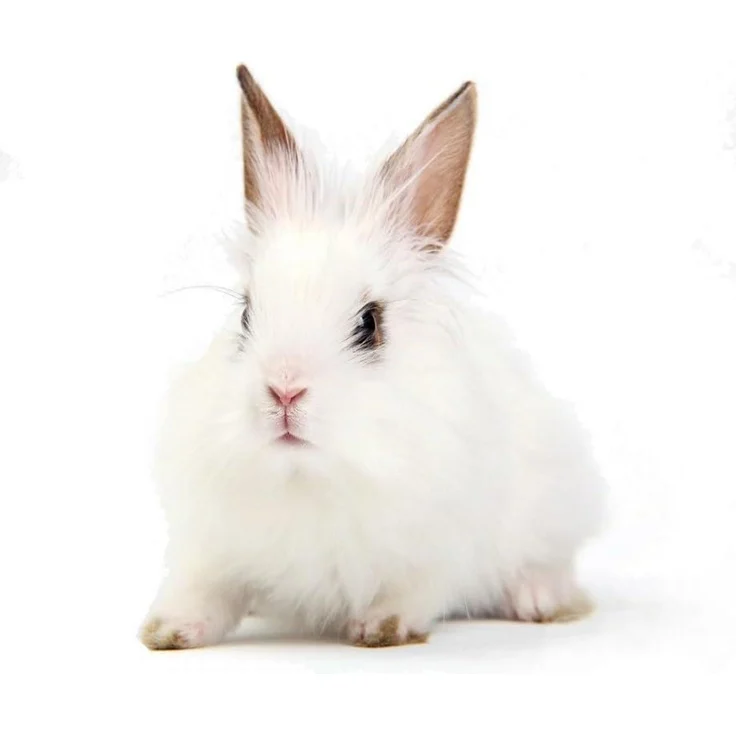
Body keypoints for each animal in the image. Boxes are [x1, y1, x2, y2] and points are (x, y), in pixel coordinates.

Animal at [139, 64, 606, 650]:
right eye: (246, 315)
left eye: (369, 324)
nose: (285, 390)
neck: (308, 479)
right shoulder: (215, 547)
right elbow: (205, 591)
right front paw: (168, 629)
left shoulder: (441, 548)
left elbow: (416, 590)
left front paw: (381, 627)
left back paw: (539, 600)